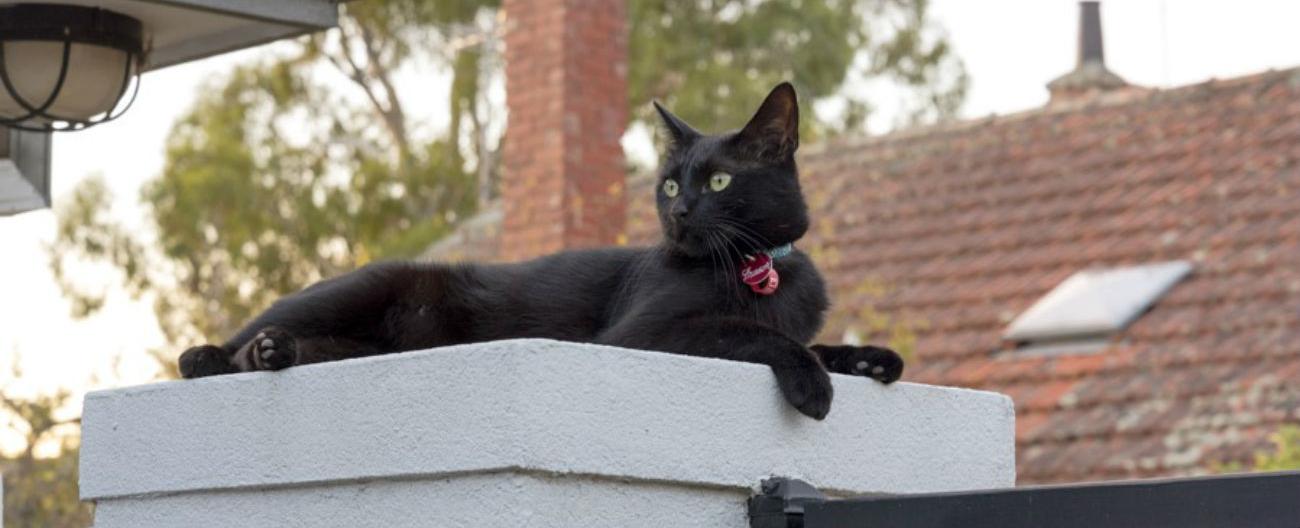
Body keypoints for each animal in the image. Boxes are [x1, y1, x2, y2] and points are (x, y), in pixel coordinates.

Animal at [178, 83, 899, 421]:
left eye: (718, 182)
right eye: (671, 183)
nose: (679, 212)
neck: (758, 268)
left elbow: (811, 338)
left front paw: (870, 358)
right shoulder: (642, 335)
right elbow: (752, 333)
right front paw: (812, 381)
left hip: (365, 345)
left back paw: (275, 354)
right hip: (352, 289)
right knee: (213, 352)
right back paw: (231, 353)